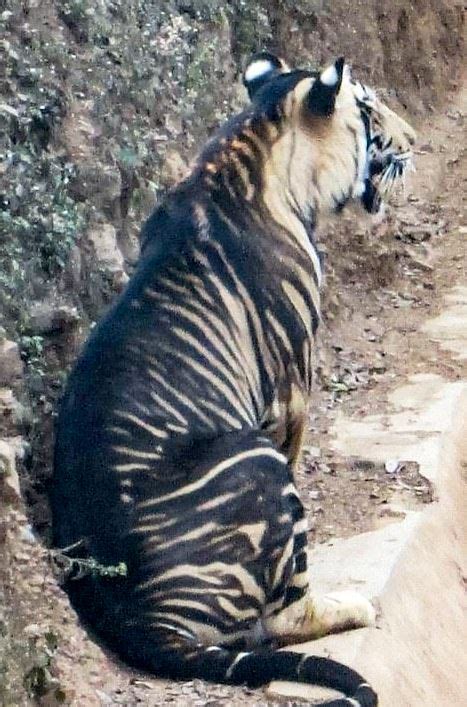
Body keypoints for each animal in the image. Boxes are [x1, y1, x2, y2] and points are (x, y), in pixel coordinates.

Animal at [53, 52, 414, 704]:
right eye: (371, 109)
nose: (414, 140)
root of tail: (140, 622)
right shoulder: (293, 387)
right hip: (254, 463)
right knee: (285, 615)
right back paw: (354, 605)